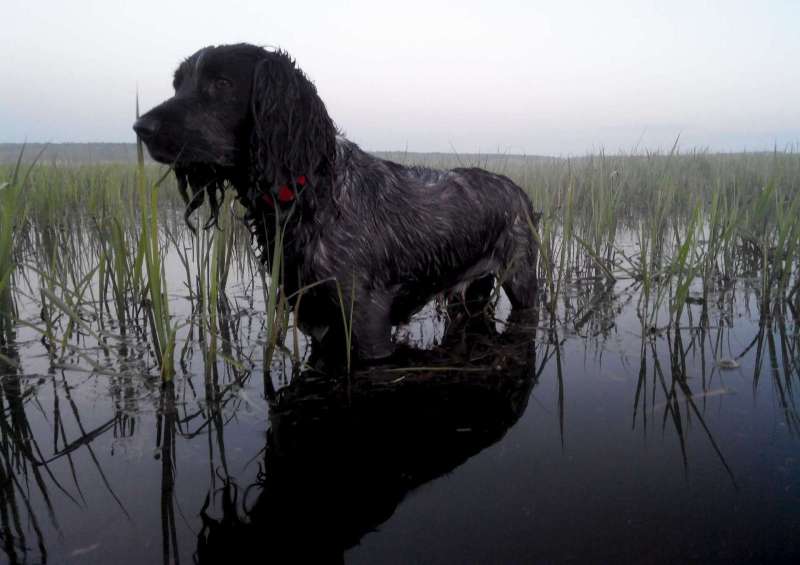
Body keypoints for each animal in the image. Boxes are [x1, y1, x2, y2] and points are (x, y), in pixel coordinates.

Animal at [134, 43, 540, 356]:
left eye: (221, 83)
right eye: (177, 85)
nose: (141, 128)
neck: (311, 197)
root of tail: (518, 189)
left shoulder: (366, 321)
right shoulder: (314, 317)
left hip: (521, 280)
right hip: (469, 293)